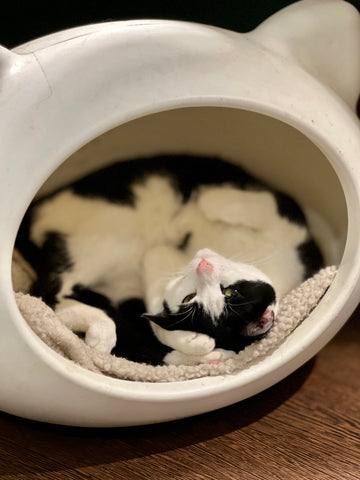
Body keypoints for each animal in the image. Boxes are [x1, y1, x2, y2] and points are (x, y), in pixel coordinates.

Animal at [15, 154, 324, 364]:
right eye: (231, 292)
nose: (204, 263)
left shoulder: (159, 265)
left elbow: (158, 319)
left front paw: (196, 343)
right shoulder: (288, 216)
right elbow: (255, 204)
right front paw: (202, 203)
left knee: (53, 299)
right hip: (97, 245)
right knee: (47, 293)